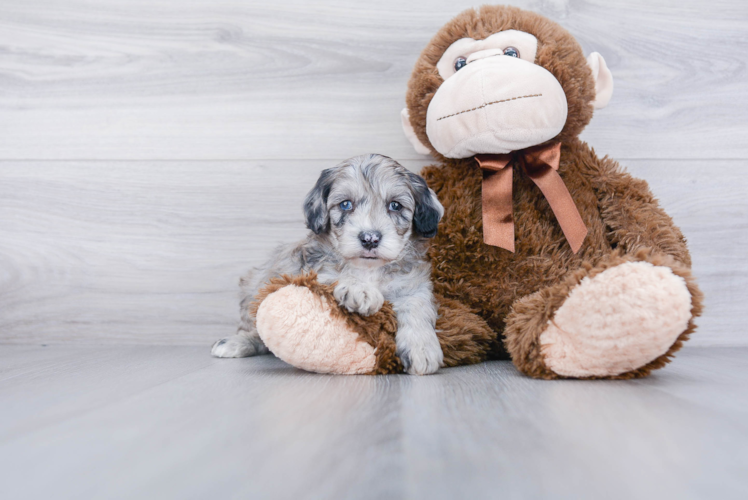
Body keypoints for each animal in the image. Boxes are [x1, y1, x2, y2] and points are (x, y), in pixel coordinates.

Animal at [210, 154, 444, 374]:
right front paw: (359, 290)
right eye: (345, 204)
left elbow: (417, 307)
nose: (370, 238)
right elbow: (336, 274)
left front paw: (422, 348)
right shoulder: (313, 270)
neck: (369, 270)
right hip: (255, 287)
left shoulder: (414, 285)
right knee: (257, 330)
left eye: (395, 205)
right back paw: (235, 342)